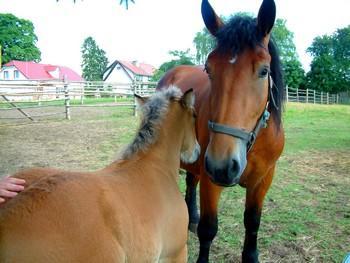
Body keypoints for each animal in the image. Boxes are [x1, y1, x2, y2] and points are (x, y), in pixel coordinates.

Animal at [157, 1, 286, 262]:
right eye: (209, 69)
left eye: (264, 70)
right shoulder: (211, 180)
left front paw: (251, 256)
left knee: (191, 180)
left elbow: (253, 222)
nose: (222, 165)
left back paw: (191, 216)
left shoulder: (263, 180)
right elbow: (208, 229)